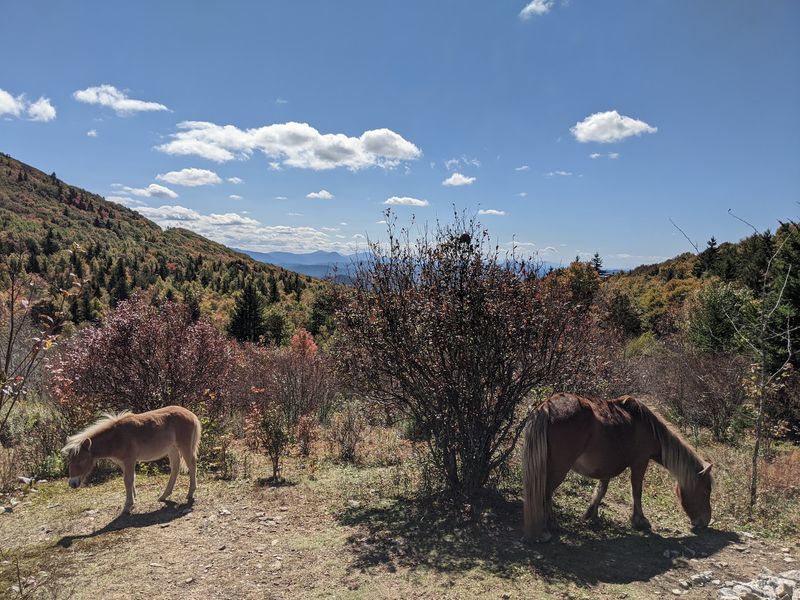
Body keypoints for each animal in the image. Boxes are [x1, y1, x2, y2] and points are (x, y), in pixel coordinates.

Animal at [62, 406, 202, 514]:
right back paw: (164, 495)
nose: (72, 483)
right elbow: (131, 478)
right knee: (175, 468)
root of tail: (191, 415)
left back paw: (190, 493)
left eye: (81, 460)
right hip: (172, 449)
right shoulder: (123, 463)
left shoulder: (129, 460)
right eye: (70, 461)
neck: (116, 437)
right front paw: (133, 499)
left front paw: (127, 506)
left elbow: (127, 480)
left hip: (183, 447)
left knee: (191, 465)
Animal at [521, 393, 712, 542]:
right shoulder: (640, 462)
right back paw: (545, 530)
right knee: (545, 493)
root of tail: (547, 407)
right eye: (705, 491)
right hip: (558, 469)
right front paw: (640, 521)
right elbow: (637, 491)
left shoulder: (606, 467)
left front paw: (591, 514)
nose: (705, 521)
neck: (646, 426)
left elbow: (601, 490)